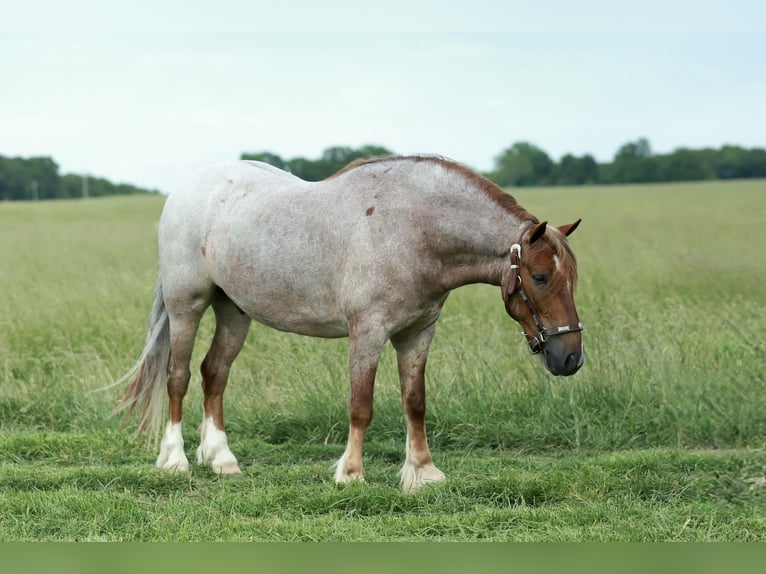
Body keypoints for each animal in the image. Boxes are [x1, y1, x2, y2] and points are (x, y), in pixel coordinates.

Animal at [117, 155, 584, 493]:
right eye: (540, 277)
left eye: (571, 279)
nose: (571, 358)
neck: (414, 229)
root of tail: (185, 189)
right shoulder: (368, 332)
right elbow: (361, 405)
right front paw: (351, 473)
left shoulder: (417, 334)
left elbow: (415, 402)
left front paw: (423, 472)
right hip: (187, 306)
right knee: (177, 377)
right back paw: (174, 460)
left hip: (234, 311)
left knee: (214, 373)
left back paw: (221, 459)